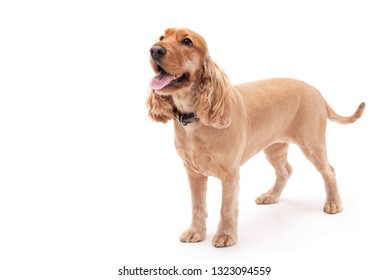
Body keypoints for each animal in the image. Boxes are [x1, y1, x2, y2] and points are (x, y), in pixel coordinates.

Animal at [145, 27, 364, 247]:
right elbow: (197, 205)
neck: (195, 117)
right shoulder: (193, 172)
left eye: (187, 41)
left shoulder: (230, 174)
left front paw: (226, 235)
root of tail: (317, 92)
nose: (155, 50)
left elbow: (227, 208)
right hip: (274, 148)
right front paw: (195, 232)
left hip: (312, 144)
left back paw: (333, 203)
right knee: (286, 171)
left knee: (329, 170)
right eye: (162, 37)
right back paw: (271, 195)